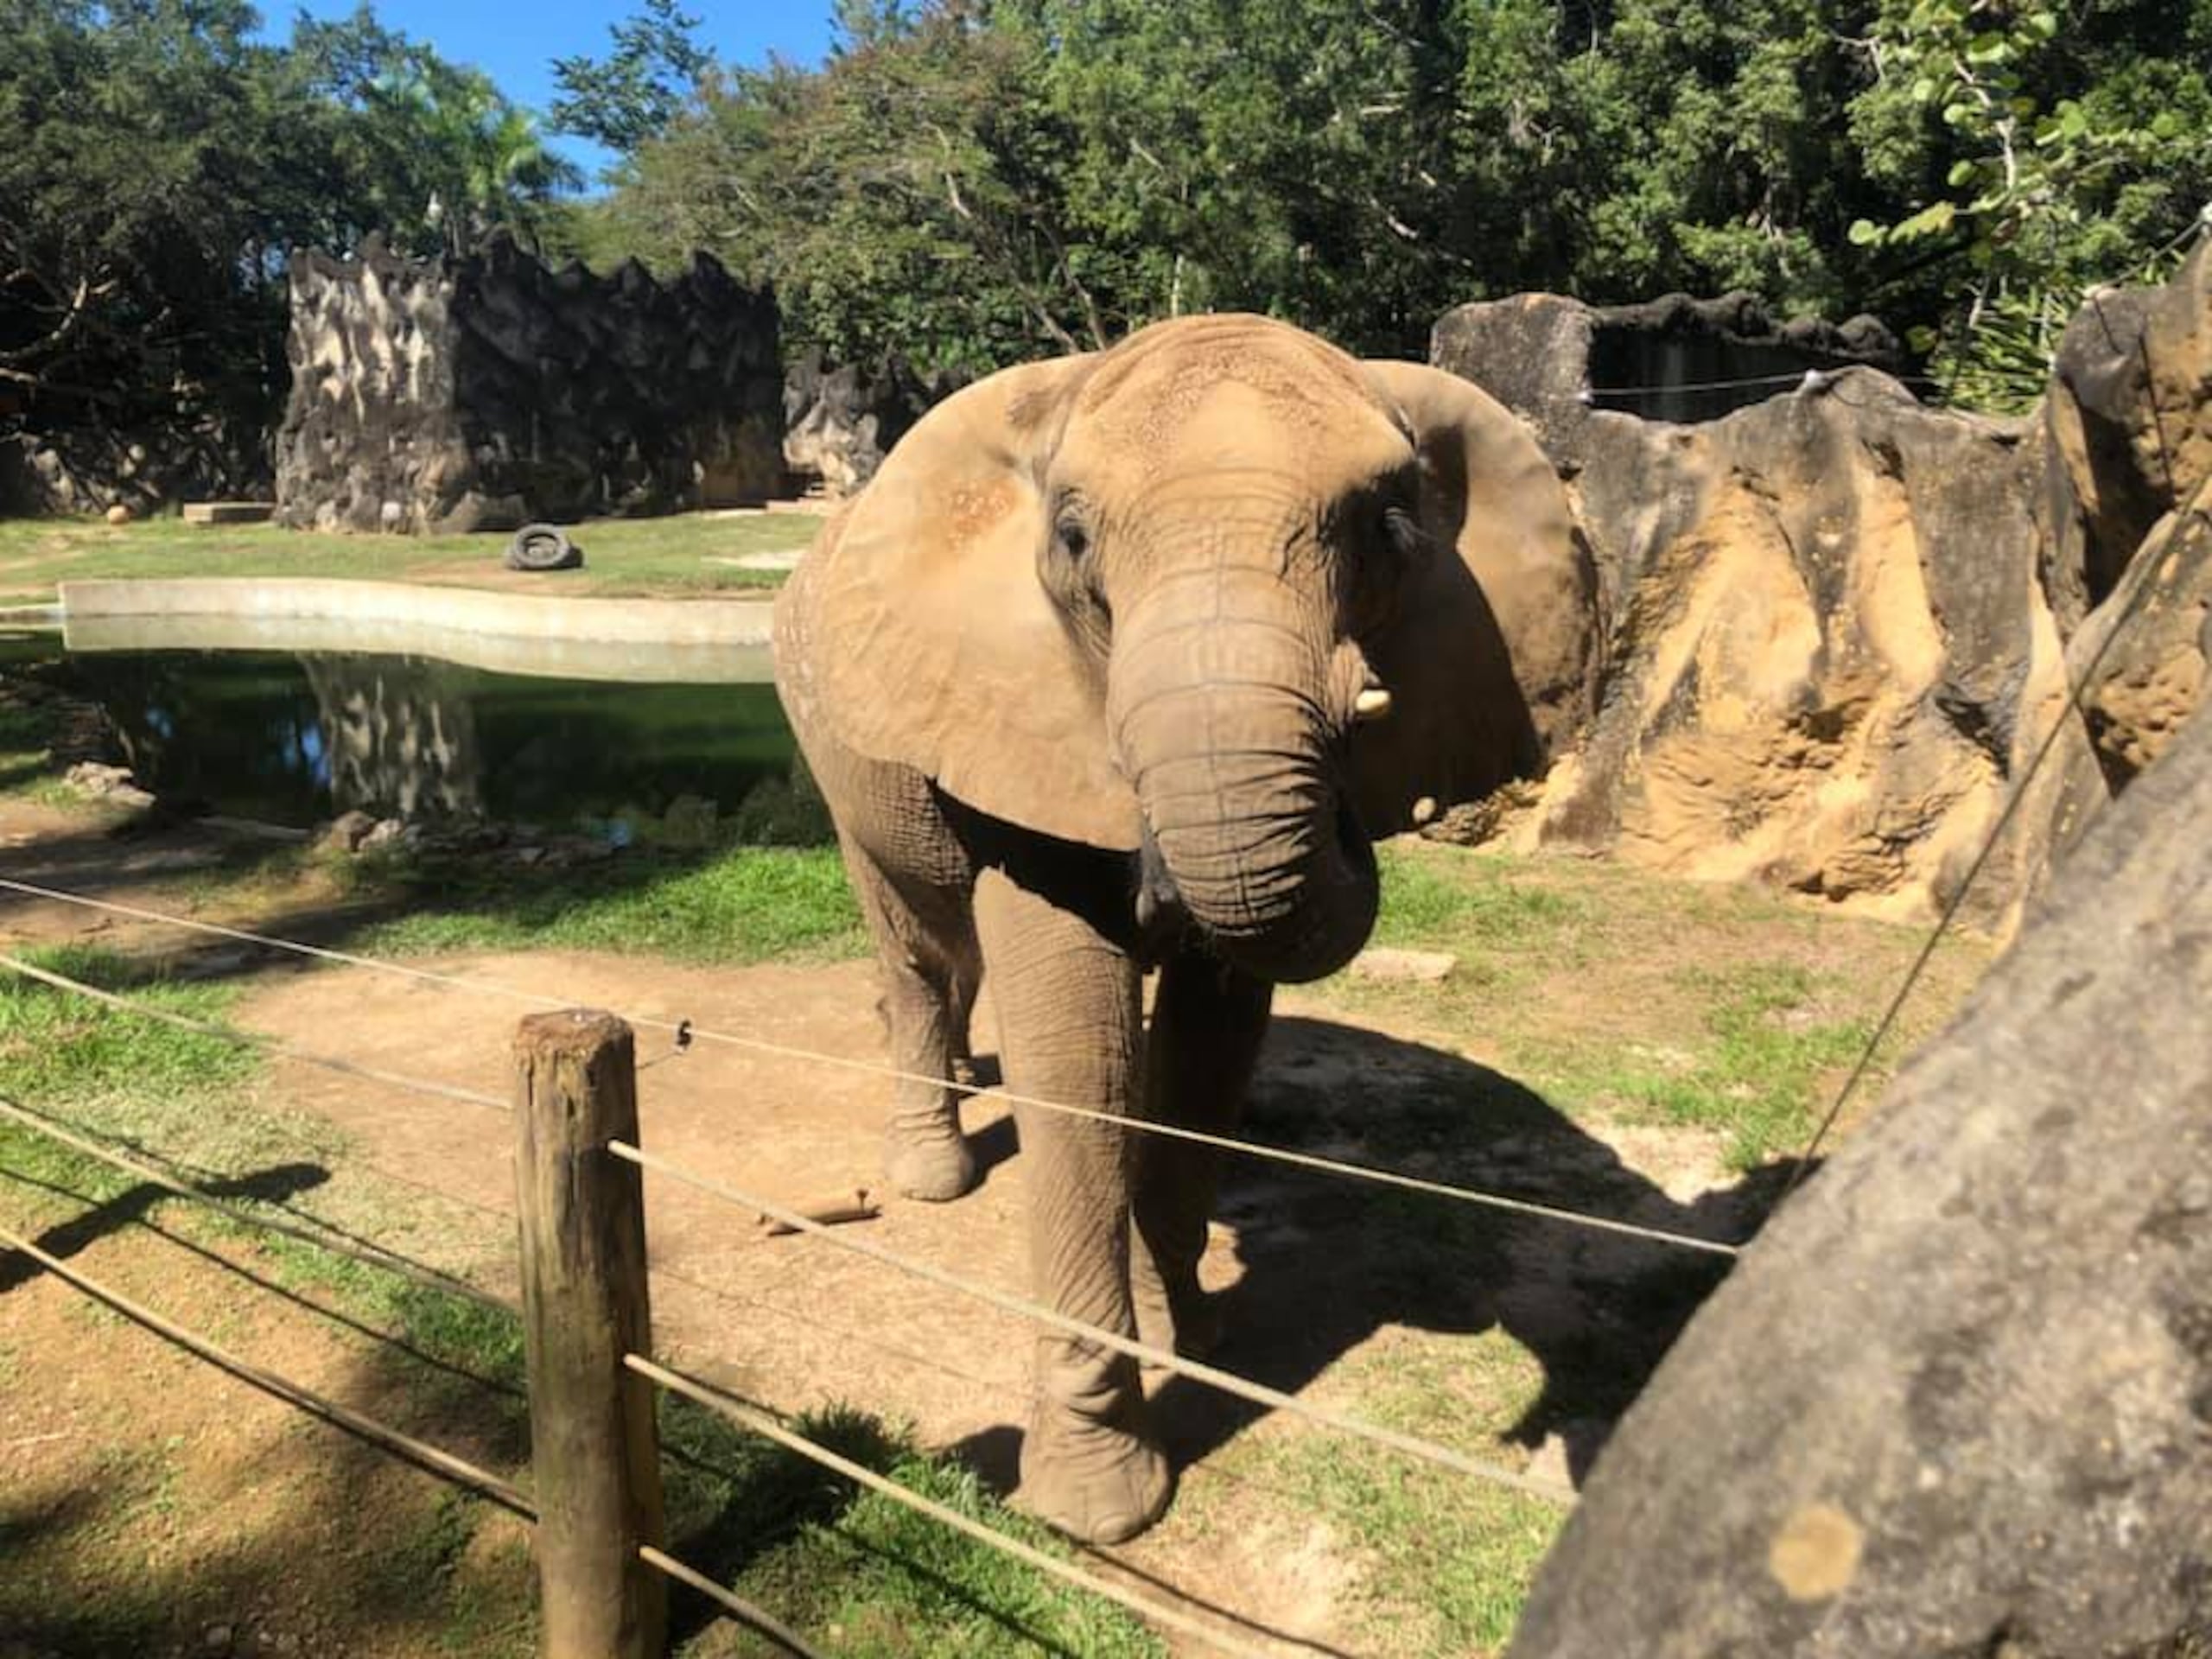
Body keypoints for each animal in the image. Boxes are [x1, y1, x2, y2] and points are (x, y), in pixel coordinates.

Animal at [769, 314, 1601, 1548]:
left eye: (1388, 528)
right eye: (1071, 538)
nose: (1361, 769)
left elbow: (1204, 1051)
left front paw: (1197, 1335)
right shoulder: (1020, 707)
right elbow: (1083, 1063)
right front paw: (1100, 1508)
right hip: (831, 732)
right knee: (914, 941)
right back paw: (932, 1172)